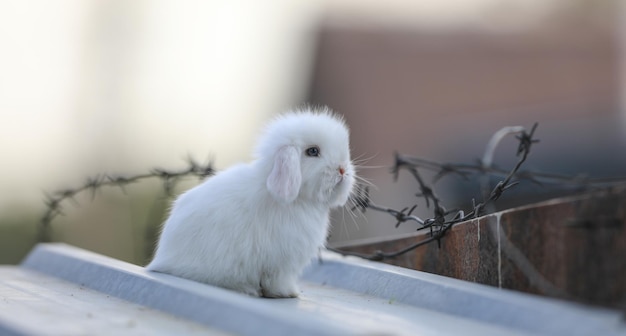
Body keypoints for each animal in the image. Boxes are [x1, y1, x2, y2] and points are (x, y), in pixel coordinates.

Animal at [143, 107, 354, 296]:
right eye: (313, 151)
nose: (343, 169)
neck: (299, 200)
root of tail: (160, 260)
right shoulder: (281, 263)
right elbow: (277, 280)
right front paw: (289, 293)